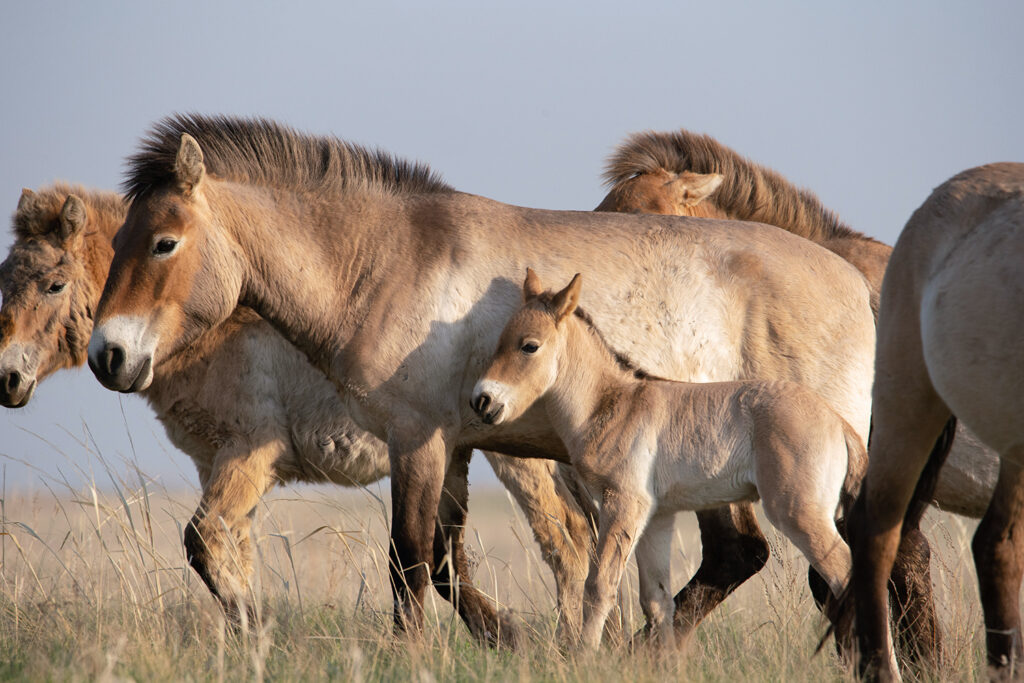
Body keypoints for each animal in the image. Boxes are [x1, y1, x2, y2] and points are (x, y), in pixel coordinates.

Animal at [0, 184, 600, 646]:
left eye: (54, 284)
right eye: (5, 280)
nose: (6, 378)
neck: (217, 329)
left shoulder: (250, 454)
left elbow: (205, 541)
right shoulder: (216, 465)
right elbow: (230, 555)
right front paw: (252, 641)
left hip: (515, 459)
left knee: (569, 543)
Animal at [472, 268, 865, 652]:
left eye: (529, 345)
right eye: (499, 340)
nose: (482, 401)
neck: (613, 404)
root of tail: (838, 423)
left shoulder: (623, 505)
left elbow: (599, 588)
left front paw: (585, 658)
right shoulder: (657, 517)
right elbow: (657, 602)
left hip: (800, 514)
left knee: (846, 576)